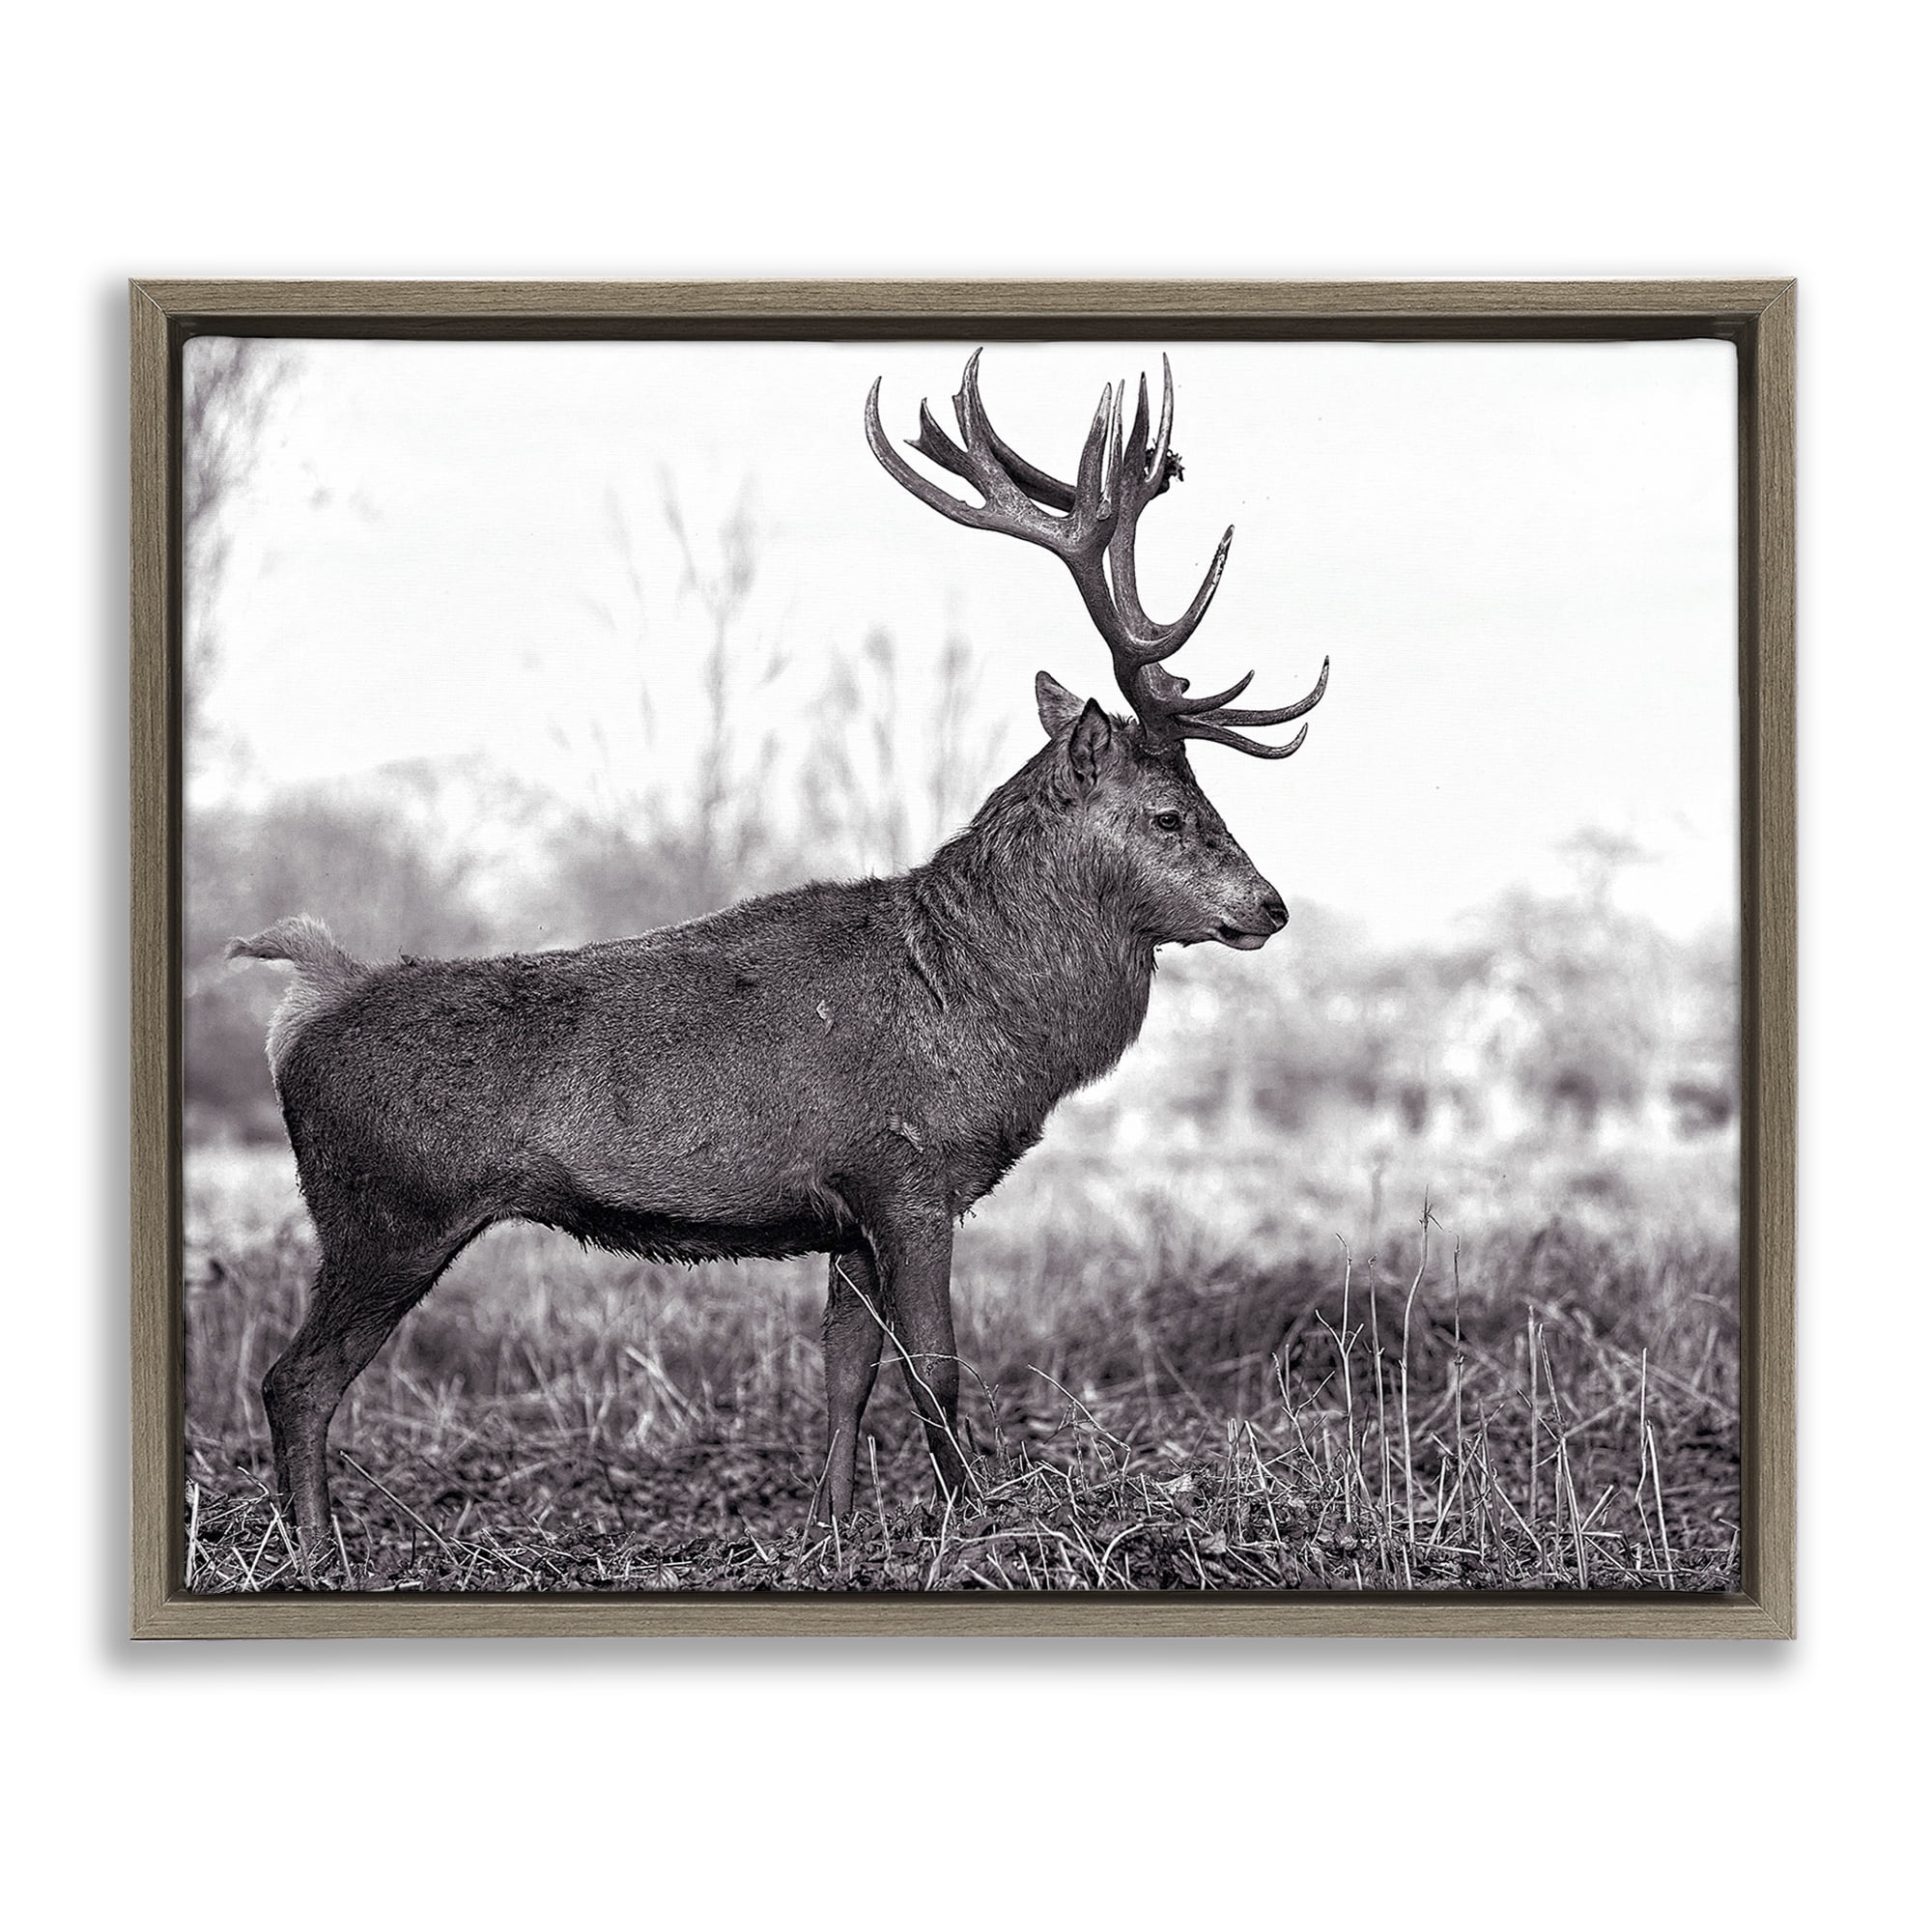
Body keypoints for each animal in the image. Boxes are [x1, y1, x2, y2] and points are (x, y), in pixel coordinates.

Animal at [228, 350, 1328, 1562]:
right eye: (1172, 813)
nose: (1269, 906)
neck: (983, 1010)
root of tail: (305, 1002)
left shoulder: (842, 1209)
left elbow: (845, 1369)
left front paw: (832, 1526)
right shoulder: (908, 1171)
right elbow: (935, 1367)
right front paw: (974, 1524)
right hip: (386, 1211)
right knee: (294, 1380)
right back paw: (318, 1549)